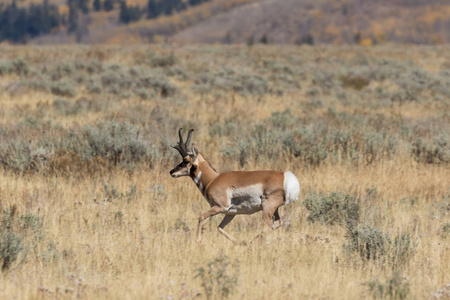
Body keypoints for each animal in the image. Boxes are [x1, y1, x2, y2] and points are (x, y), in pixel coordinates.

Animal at [171, 128, 300, 244]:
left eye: (186, 160)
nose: (171, 172)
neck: (213, 179)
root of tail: (285, 176)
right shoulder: (231, 212)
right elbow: (220, 228)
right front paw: (239, 242)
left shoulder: (220, 207)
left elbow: (201, 217)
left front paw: (198, 240)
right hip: (274, 209)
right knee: (277, 223)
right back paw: (250, 241)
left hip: (267, 208)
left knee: (266, 228)